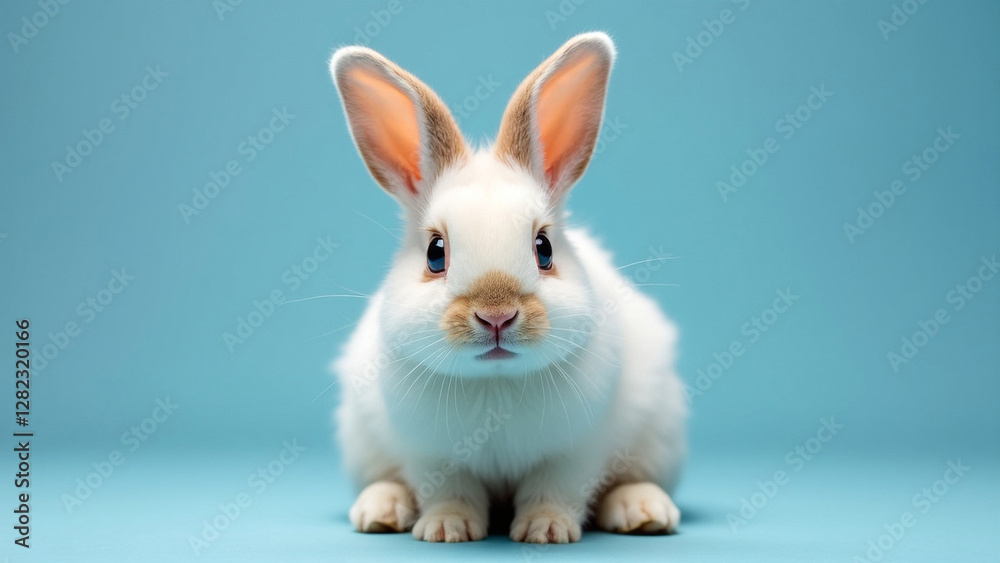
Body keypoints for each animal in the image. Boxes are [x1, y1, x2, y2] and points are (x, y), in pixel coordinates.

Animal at [328, 31, 687, 544]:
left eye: (544, 248)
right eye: (435, 253)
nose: (496, 314)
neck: (493, 383)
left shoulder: (574, 453)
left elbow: (553, 490)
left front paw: (547, 530)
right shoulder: (430, 455)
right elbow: (449, 491)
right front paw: (446, 529)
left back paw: (644, 511)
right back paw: (379, 511)